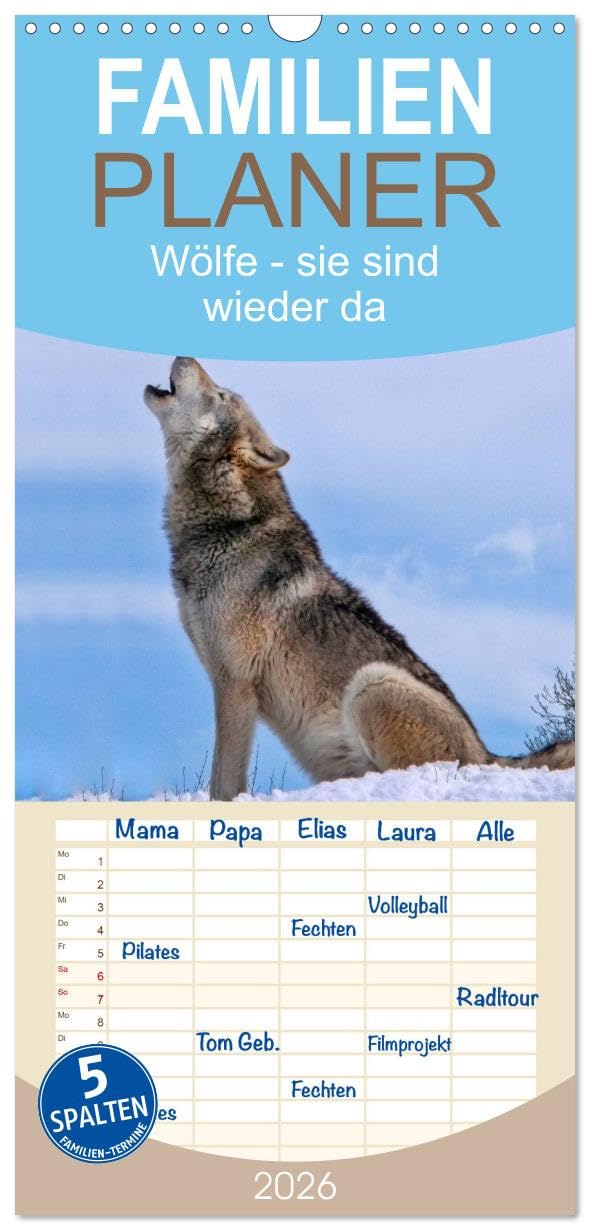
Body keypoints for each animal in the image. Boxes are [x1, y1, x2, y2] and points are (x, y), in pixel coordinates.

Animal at [144, 357, 575, 801]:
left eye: (221, 394)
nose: (185, 356)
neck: (228, 525)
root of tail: (489, 755)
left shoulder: (236, 683)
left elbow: (224, 781)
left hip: (372, 683)